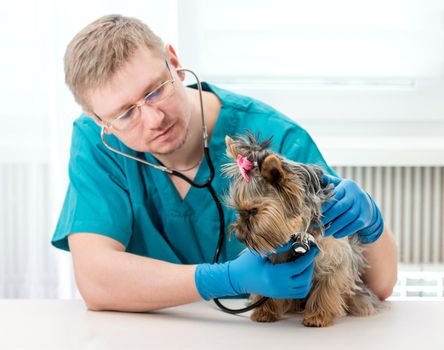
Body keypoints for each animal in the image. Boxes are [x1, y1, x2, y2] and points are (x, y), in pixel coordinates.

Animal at [224, 133, 380, 326]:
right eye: (238, 210)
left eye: (254, 211)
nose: (239, 235)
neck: (301, 232)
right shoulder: (277, 258)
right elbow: (270, 284)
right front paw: (265, 312)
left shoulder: (336, 255)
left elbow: (327, 286)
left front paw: (318, 316)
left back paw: (359, 303)